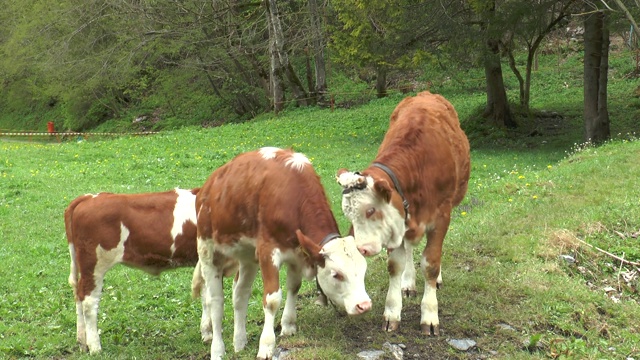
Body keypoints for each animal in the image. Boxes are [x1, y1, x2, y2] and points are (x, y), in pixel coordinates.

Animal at [63, 188, 208, 354]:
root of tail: (89, 197)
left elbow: (206, 297)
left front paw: (207, 334)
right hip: (93, 265)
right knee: (88, 301)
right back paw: (95, 347)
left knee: (78, 296)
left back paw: (82, 342)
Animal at [198, 147, 372, 360]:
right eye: (336, 274)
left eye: (363, 271)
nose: (364, 305)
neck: (293, 198)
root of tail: (209, 185)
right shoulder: (268, 251)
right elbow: (272, 299)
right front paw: (266, 345)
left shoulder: (297, 253)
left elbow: (294, 286)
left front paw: (288, 325)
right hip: (207, 251)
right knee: (216, 302)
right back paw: (217, 348)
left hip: (247, 255)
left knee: (240, 293)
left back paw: (239, 341)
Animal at [336, 91, 470, 336]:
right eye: (348, 215)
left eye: (371, 209)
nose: (361, 248)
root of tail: (425, 93)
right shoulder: (397, 225)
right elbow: (395, 265)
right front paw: (392, 312)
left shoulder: (441, 216)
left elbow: (431, 263)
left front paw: (430, 315)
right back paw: (408, 283)